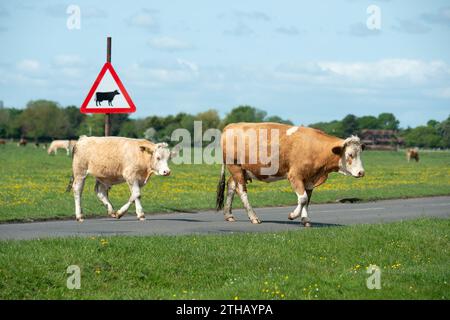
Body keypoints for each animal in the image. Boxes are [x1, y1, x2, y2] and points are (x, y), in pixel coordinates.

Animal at [216, 123, 368, 228]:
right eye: (350, 154)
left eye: (360, 153)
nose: (361, 172)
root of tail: (231, 126)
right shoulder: (295, 176)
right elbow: (303, 198)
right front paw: (293, 215)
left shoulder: (310, 179)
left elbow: (307, 200)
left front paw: (305, 220)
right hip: (235, 167)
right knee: (242, 191)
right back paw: (253, 217)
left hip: (241, 171)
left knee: (231, 186)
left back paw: (229, 214)